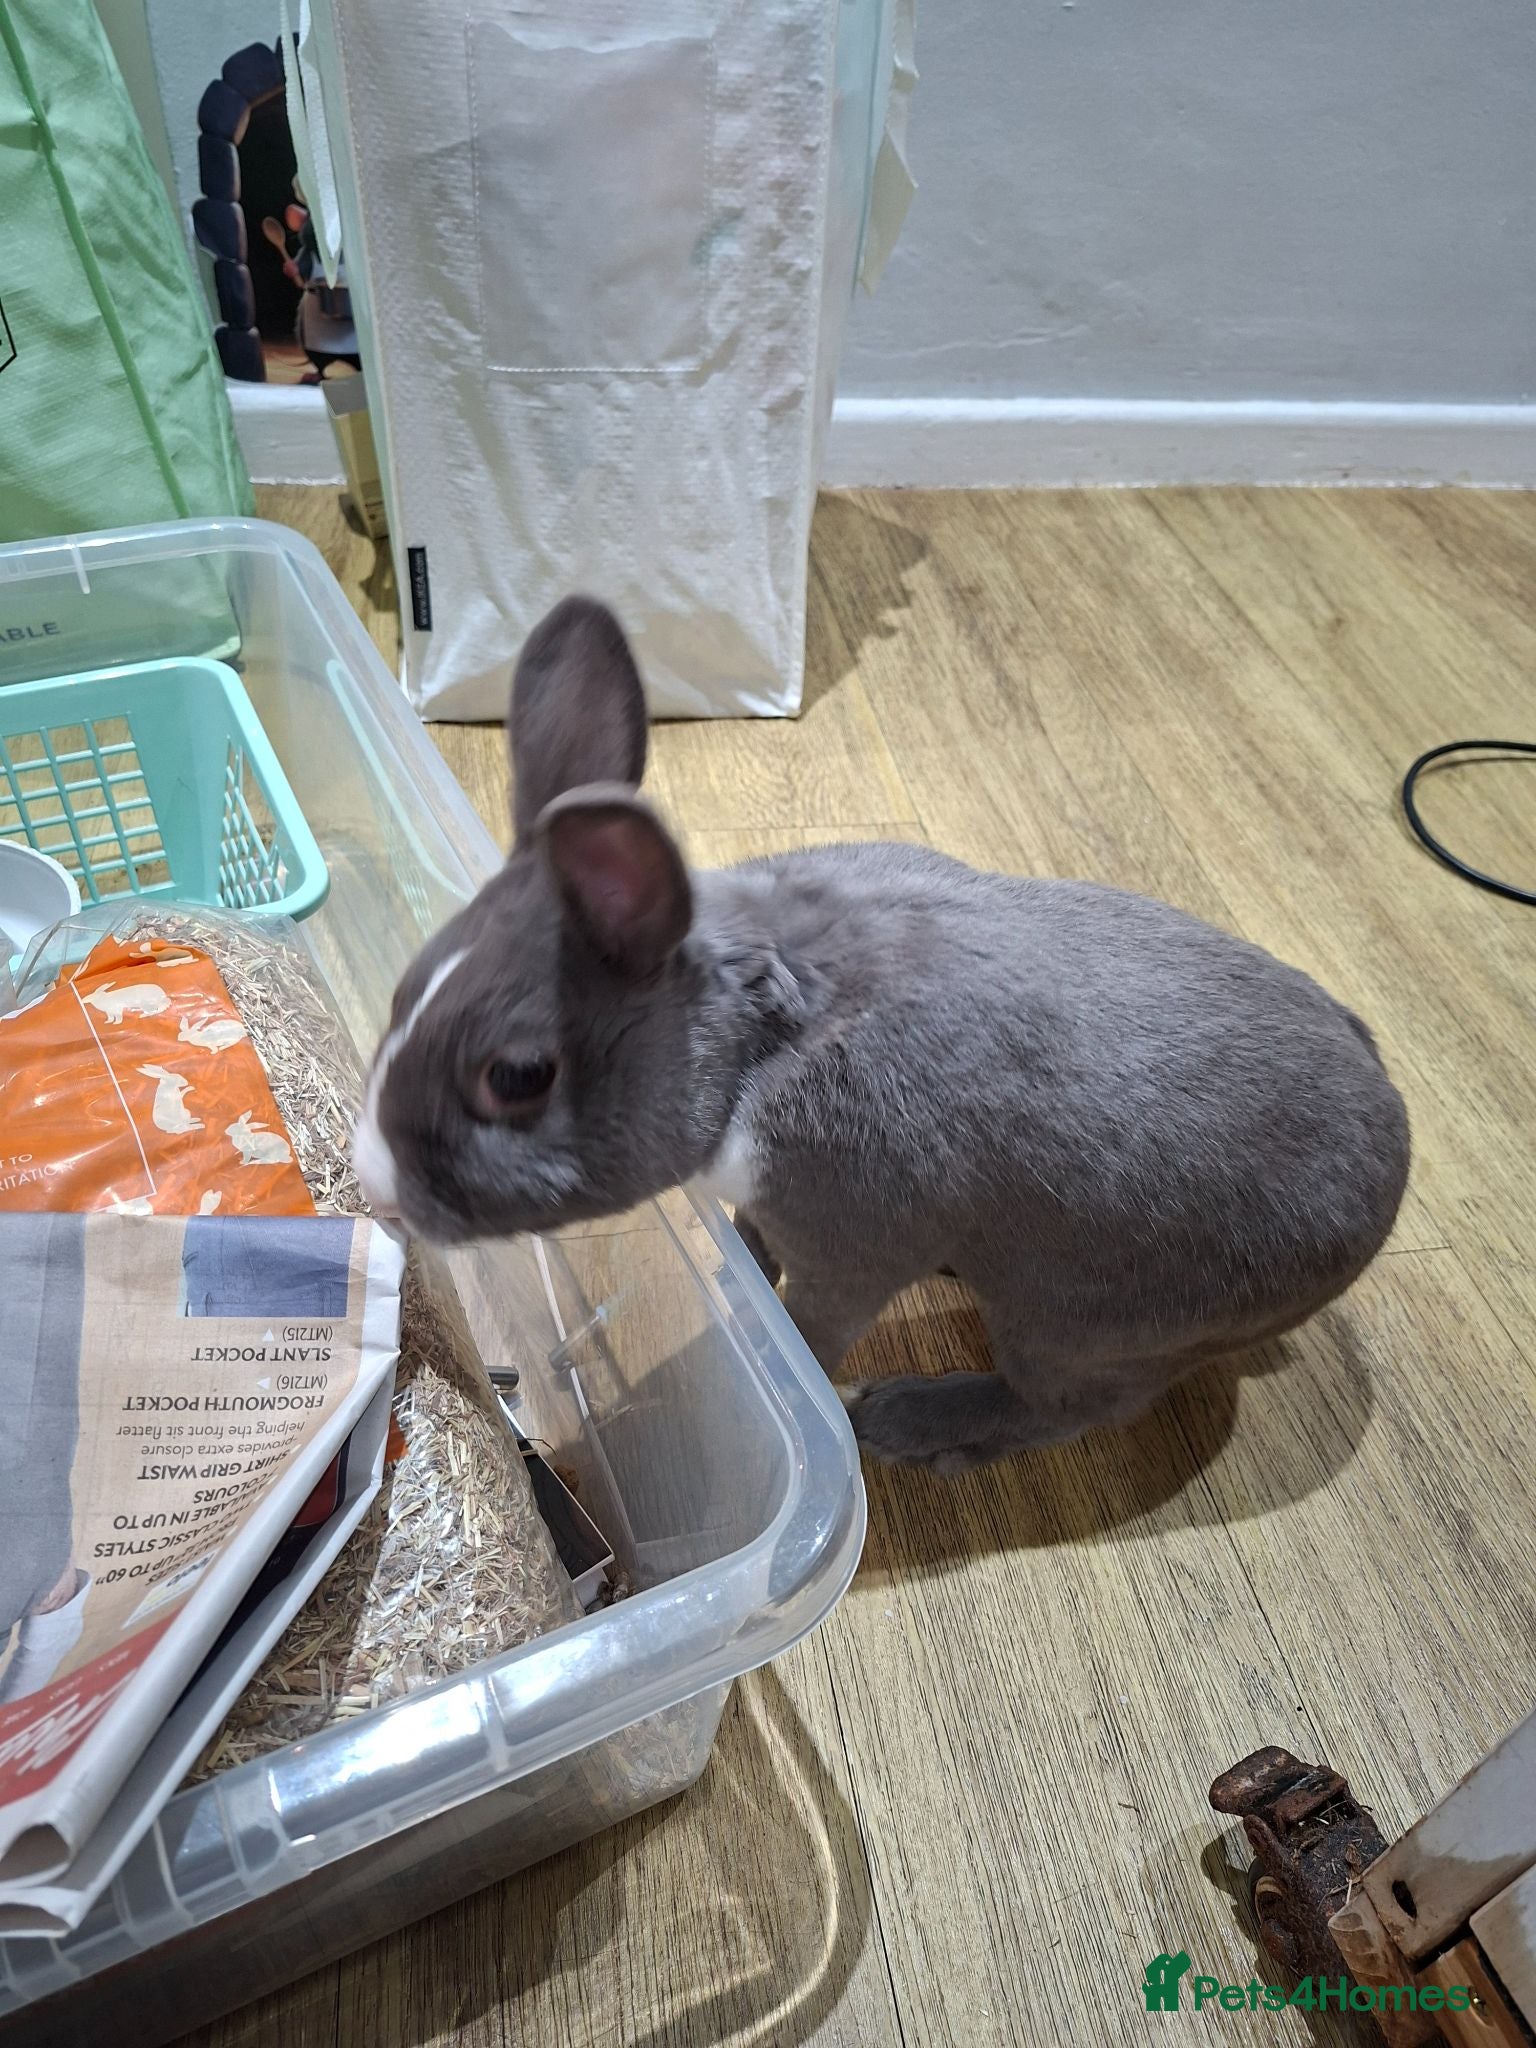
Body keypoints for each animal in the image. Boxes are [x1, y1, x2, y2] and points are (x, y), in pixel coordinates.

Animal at [353, 596, 1411, 1474]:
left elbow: (814, 1324)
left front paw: (785, 1358)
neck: (755, 1038)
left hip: (1079, 1323)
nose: (376, 1186)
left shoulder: (851, 1244)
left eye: (517, 1076)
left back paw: (901, 1424)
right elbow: (754, 1241)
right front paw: (738, 1274)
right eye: (404, 989)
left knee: (1070, 1406)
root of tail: (1393, 1156)